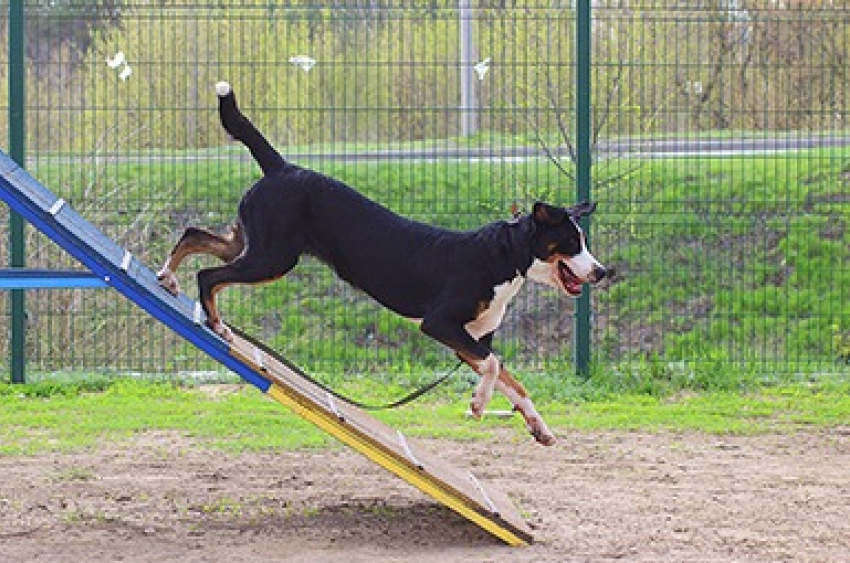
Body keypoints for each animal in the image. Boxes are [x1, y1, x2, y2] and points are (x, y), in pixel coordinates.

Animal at [159, 81, 608, 448]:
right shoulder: (441, 323)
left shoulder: (471, 340)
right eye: (572, 243)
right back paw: (215, 322)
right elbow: (496, 368)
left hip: (250, 244)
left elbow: (511, 381)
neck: (504, 257)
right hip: (271, 258)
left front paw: (537, 425)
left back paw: (167, 277)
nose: (602, 272)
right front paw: (478, 404)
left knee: (194, 235)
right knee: (209, 275)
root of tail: (283, 167)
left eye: (584, 241)